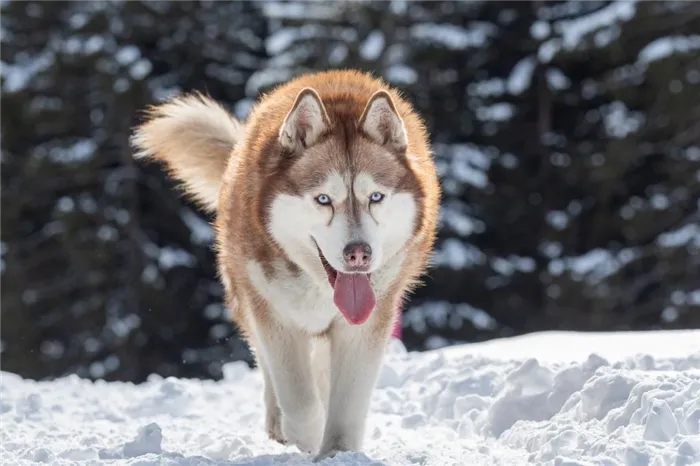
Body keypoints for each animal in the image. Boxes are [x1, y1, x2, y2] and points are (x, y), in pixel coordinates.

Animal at [129, 69, 440, 462]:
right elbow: (299, 399)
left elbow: (347, 400)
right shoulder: (273, 313)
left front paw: (337, 452)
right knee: (271, 369)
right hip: (245, 294)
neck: (318, 284)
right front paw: (306, 437)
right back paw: (279, 422)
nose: (359, 253)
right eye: (323, 200)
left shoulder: (369, 321)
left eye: (376, 197)